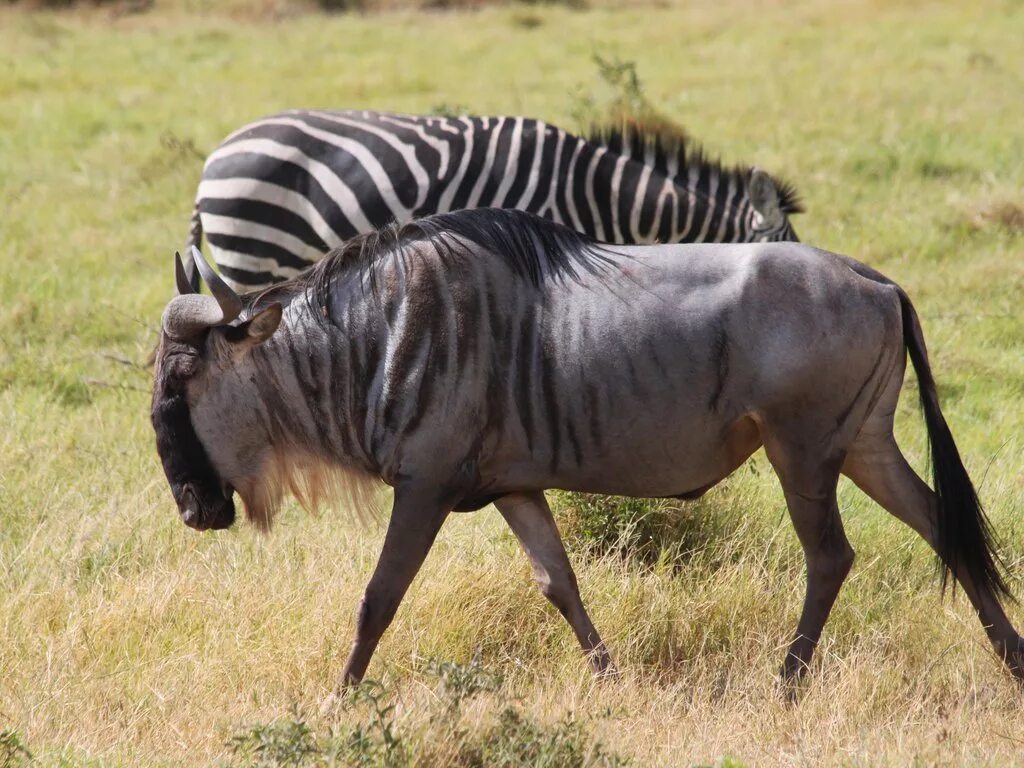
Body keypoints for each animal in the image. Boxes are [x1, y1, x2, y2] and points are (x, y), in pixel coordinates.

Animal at [153, 205, 1024, 692]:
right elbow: (559, 583)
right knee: (942, 525)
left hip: (802, 452)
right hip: (864, 445)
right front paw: (610, 684)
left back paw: (788, 682)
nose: (191, 511)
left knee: (831, 556)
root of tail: (876, 280)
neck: (380, 334)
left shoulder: (424, 487)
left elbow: (378, 598)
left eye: (184, 378)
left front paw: (339, 699)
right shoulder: (513, 488)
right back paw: (1013, 663)